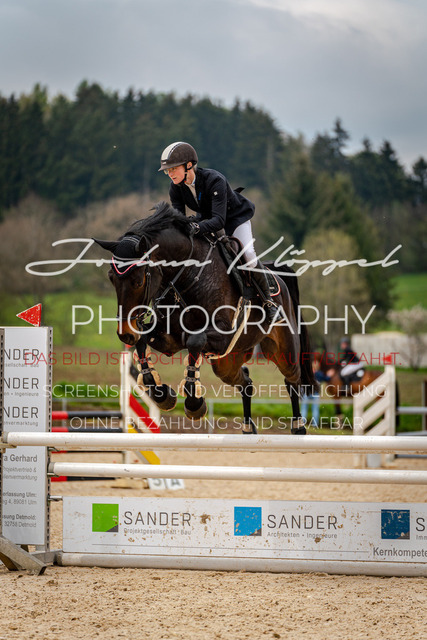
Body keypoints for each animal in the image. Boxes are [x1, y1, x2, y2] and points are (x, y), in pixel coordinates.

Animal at [94, 201, 317, 434]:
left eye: (138, 281)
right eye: (111, 278)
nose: (125, 334)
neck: (188, 277)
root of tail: (278, 278)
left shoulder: (222, 336)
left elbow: (195, 341)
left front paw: (193, 403)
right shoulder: (170, 339)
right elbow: (143, 342)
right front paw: (161, 394)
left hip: (282, 351)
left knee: (292, 380)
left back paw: (298, 427)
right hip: (227, 362)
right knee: (245, 381)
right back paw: (248, 428)